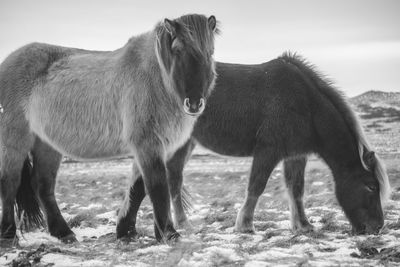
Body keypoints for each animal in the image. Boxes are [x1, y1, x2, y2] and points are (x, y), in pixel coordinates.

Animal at [0, 14, 219, 245]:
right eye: (177, 50)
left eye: (210, 52)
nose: (194, 104)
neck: (156, 79)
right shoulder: (147, 145)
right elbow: (157, 187)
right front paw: (169, 233)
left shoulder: (156, 147)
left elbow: (138, 188)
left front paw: (127, 231)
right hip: (15, 139)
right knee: (10, 182)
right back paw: (9, 235)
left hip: (46, 144)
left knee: (42, 184)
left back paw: (64, 232)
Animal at [118, 52, 390, 239]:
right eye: (370, 186)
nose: (377, 227)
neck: (306, 104)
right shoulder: (269, 150)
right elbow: (257, 186)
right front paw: (245, 224)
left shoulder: (296, 155)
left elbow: (296, 189)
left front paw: (302, 225)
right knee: (168, 181)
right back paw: (179, 224)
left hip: (183, 144)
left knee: (168, 180)